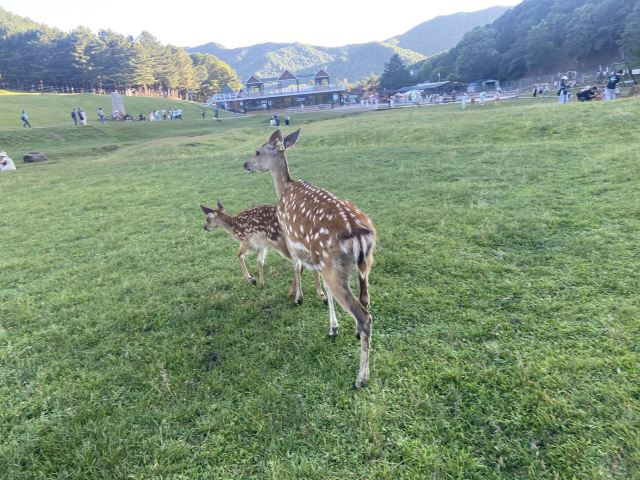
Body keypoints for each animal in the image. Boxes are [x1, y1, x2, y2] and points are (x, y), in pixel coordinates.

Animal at [243, 129, 376, 389]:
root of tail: (358, 234)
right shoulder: (317, 258)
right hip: (364, 263)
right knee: (365, 299)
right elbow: (325, 291)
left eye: (258, 151)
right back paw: (356, 334)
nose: (245, 164)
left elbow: (297, 268)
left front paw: (298, 298)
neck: (283, 189)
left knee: (364, 316)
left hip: (331, 263)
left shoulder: (290, 239)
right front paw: (333, 328)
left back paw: (361, 378)